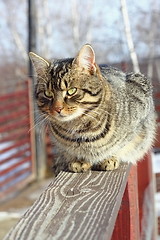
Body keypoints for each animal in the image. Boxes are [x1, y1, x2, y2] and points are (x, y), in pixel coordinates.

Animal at [29, 44, 156, 173]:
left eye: (71, 91)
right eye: (48, 93)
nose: (57, 108)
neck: (78, 129)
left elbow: (120, 146)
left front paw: (109, 158)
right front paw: (79, 161)